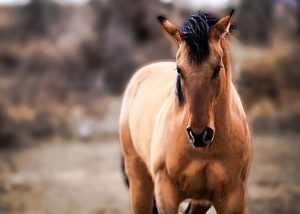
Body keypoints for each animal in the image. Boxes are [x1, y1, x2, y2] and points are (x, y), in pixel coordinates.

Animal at [118, 10, 252, 214]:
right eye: (179, 70)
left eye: (217, 68)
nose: (199, 135)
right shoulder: (166, 193)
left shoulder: (232, 198)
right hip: (139, 181)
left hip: (200, 201)